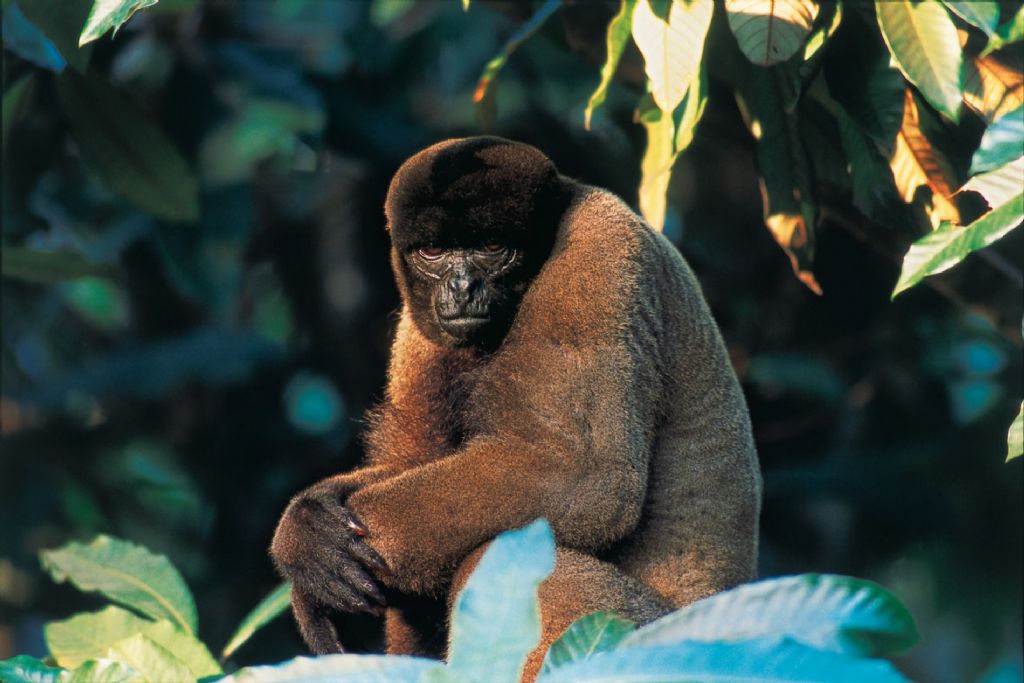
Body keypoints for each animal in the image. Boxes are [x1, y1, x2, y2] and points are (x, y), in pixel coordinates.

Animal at [270, 136, 762, 680]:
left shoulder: (596, 257)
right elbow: (413, 461)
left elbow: (579, 476)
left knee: (509, 556)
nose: (462, 287)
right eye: (433, 251)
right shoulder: (420, 329)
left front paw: (305, 571)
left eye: (491, 248)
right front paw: (304, 530)